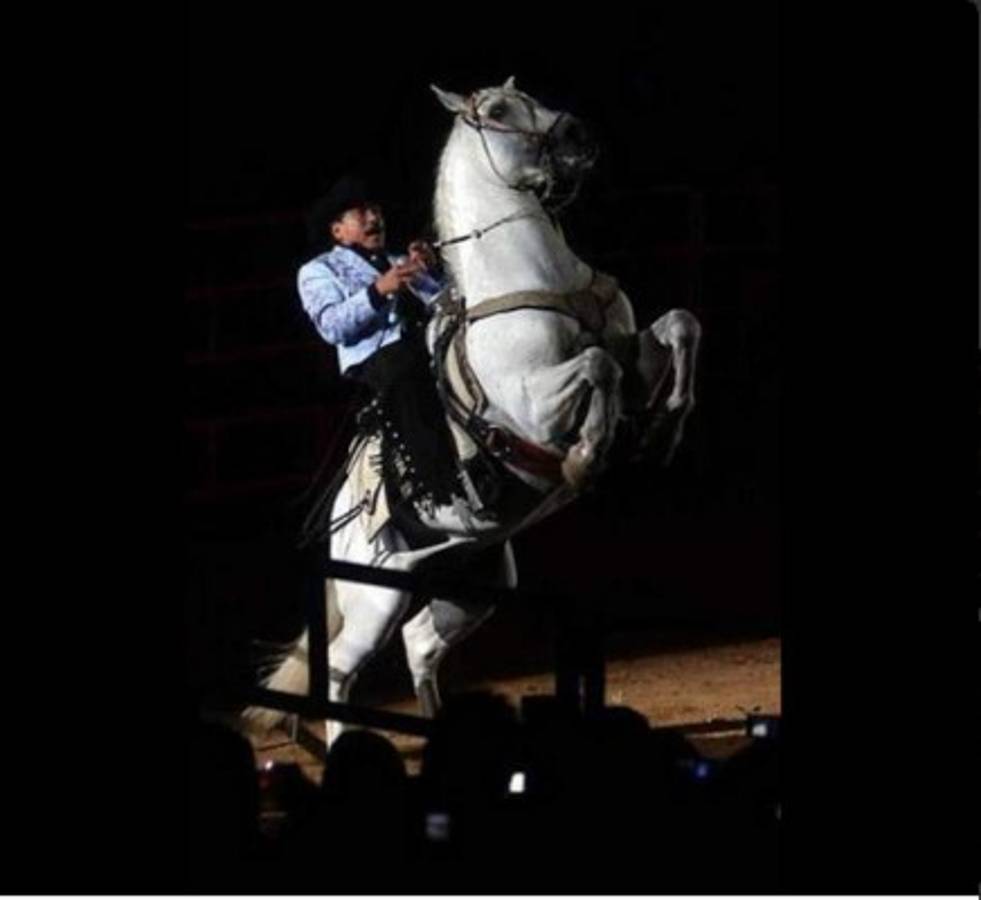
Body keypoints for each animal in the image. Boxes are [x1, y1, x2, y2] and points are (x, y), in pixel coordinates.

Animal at [247, 77, 701, 747]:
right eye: (496, 111)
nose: (579, 134)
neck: (534, 276)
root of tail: (335, 523)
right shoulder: (535, 403)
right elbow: (598, 369)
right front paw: (586, 460)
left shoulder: (635, 351)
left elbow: (676, 328)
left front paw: (667, 426)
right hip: (375, 601)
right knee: (340, 674)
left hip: (469, 589)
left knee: (419, 646)